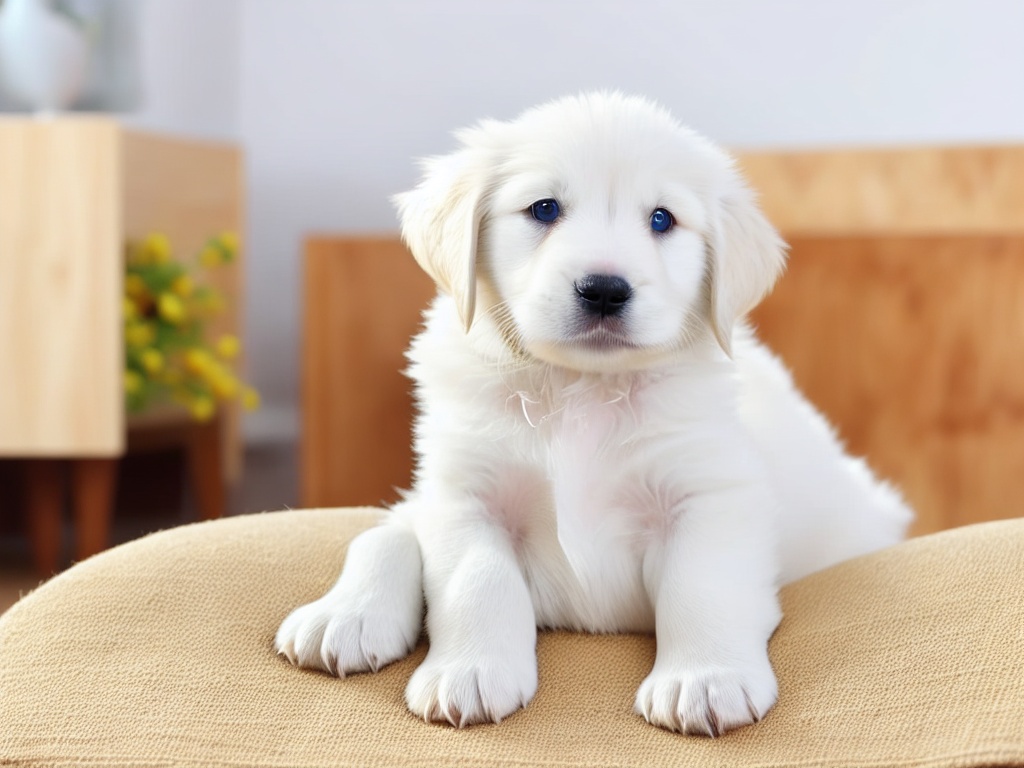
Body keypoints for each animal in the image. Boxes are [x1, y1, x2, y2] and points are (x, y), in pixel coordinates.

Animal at [274, 93, 913, 737]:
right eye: (544, 208)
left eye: (662, 220)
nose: (604, 289)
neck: (580, 389)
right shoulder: (463, 492)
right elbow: (468, 575)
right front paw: (465, 669)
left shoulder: (711, 492)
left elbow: (702, 584)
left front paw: (704, 679)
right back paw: (342, 616)